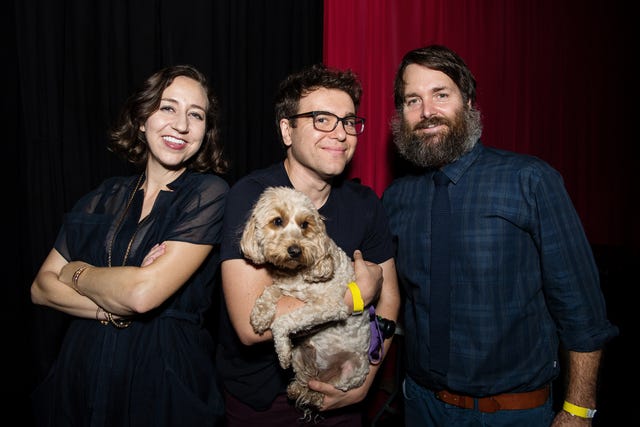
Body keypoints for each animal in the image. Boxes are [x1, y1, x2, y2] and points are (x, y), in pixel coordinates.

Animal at [240, 186, 370, 418]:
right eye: (277, 221)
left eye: (305, 225)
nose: (295, 250)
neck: (296, 273)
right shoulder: (284, 287)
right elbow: (270, 290)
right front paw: (261, 314)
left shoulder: (330, 307)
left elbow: (283, 322)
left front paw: (281, 349)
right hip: (301, 355)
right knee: (305, 379)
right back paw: (298, 389)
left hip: (354, 370)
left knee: (329, 388)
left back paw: (314, 396)